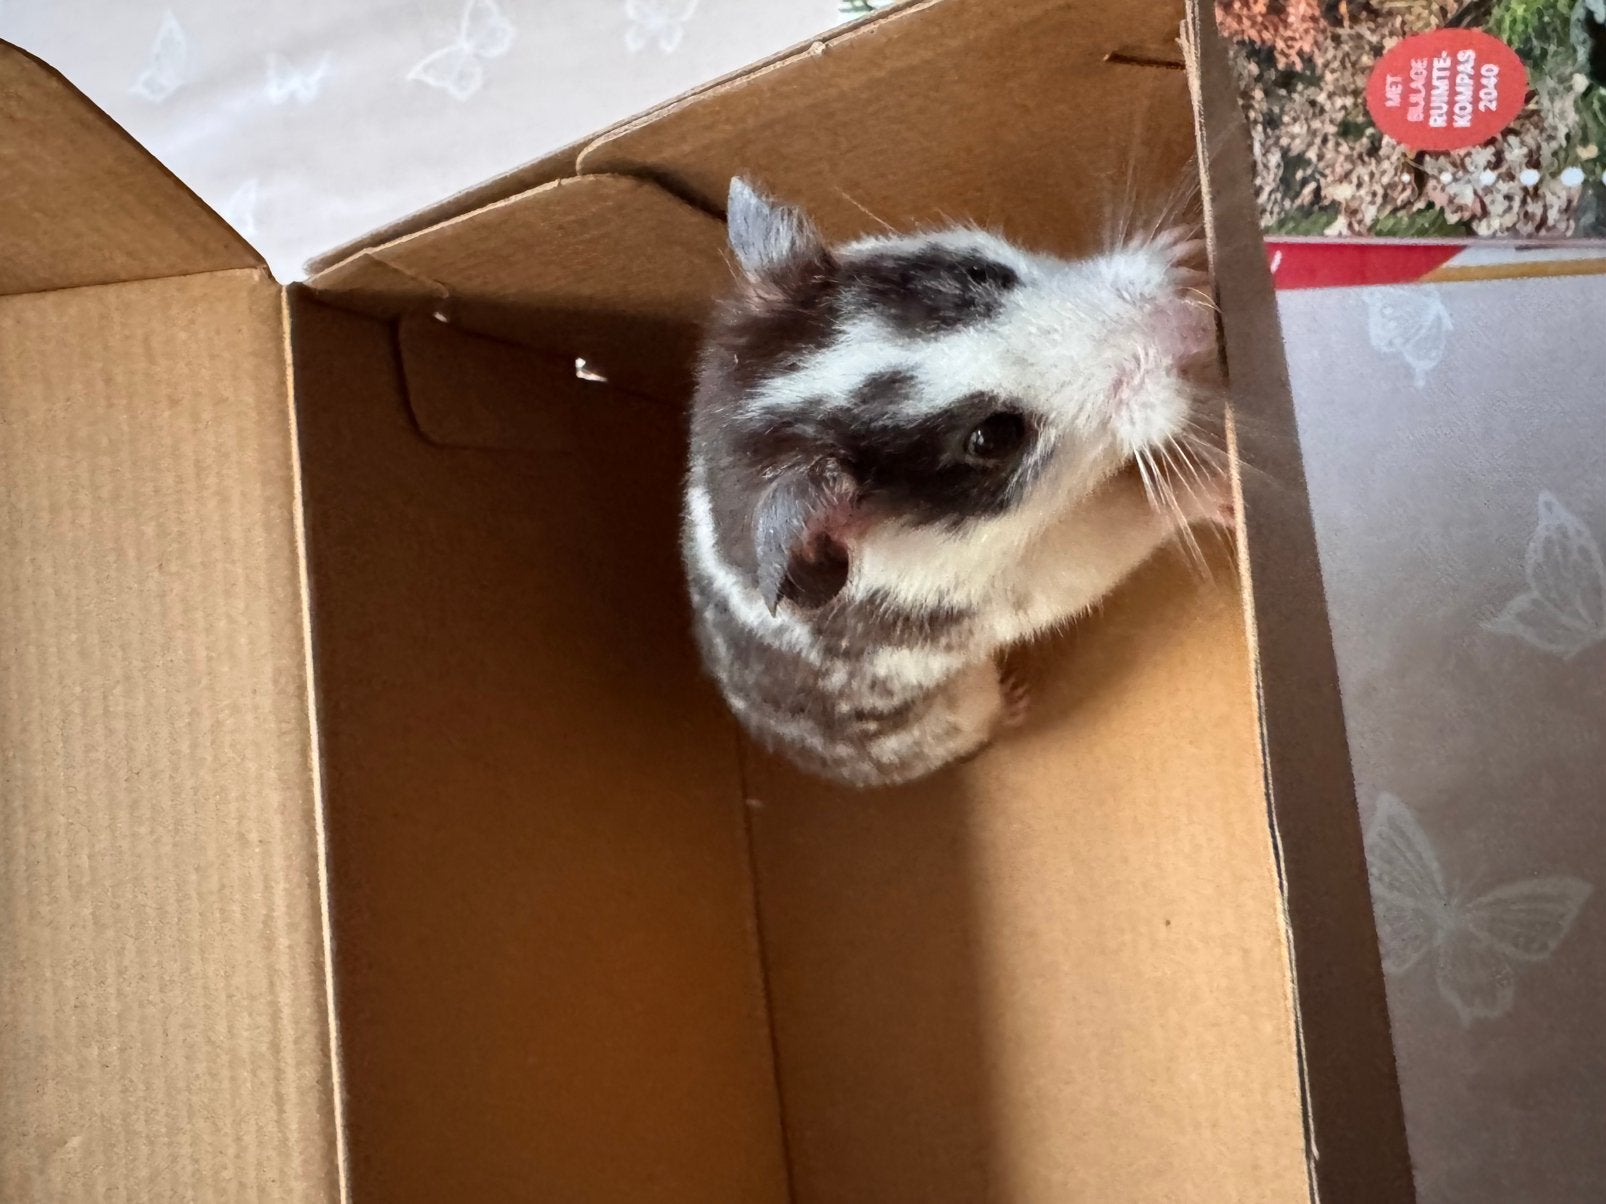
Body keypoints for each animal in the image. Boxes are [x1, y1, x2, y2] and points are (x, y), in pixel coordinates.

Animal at [681, 177, 1231, 789]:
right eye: (994, 438)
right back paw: (1015, 700)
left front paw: (1185, 251)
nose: (1191, 325)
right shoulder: (1027, 579)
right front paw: (1223, 488)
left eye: (982, 273)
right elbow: (1129, 522)